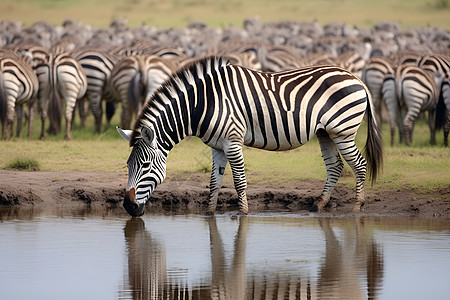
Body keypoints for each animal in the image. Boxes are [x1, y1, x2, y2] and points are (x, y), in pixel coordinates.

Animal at [117, 55, 384, 216]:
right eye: (128, 165)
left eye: (145, 165)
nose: (128, 207)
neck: (203, 104)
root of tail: (355, 77)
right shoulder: (217, 146)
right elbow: (214, 182)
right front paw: (209, 213)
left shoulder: (233, 141)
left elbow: (239, 181)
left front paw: (243, 213)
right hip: (325, 132)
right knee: (335, 166)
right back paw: (319, 204)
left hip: (343, 131)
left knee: (359, 165)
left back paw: (357, 207)